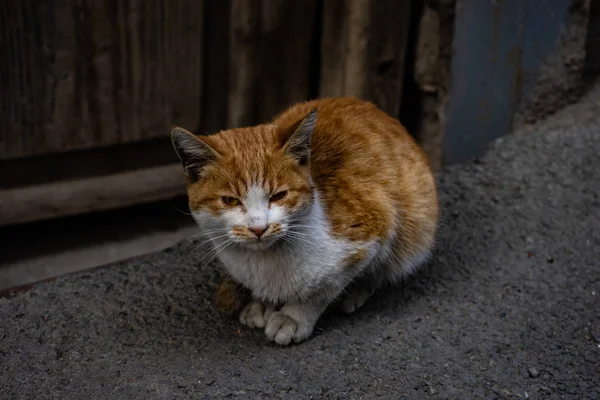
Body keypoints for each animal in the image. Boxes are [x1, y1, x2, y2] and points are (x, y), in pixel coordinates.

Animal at [171, 96, 438, 344]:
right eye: (230, 200)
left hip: (416, 226)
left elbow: (320, 291)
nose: (259, 228)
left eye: (279, 196)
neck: (264, 262)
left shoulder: (369, 232)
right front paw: (262, 302)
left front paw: (293, 317)